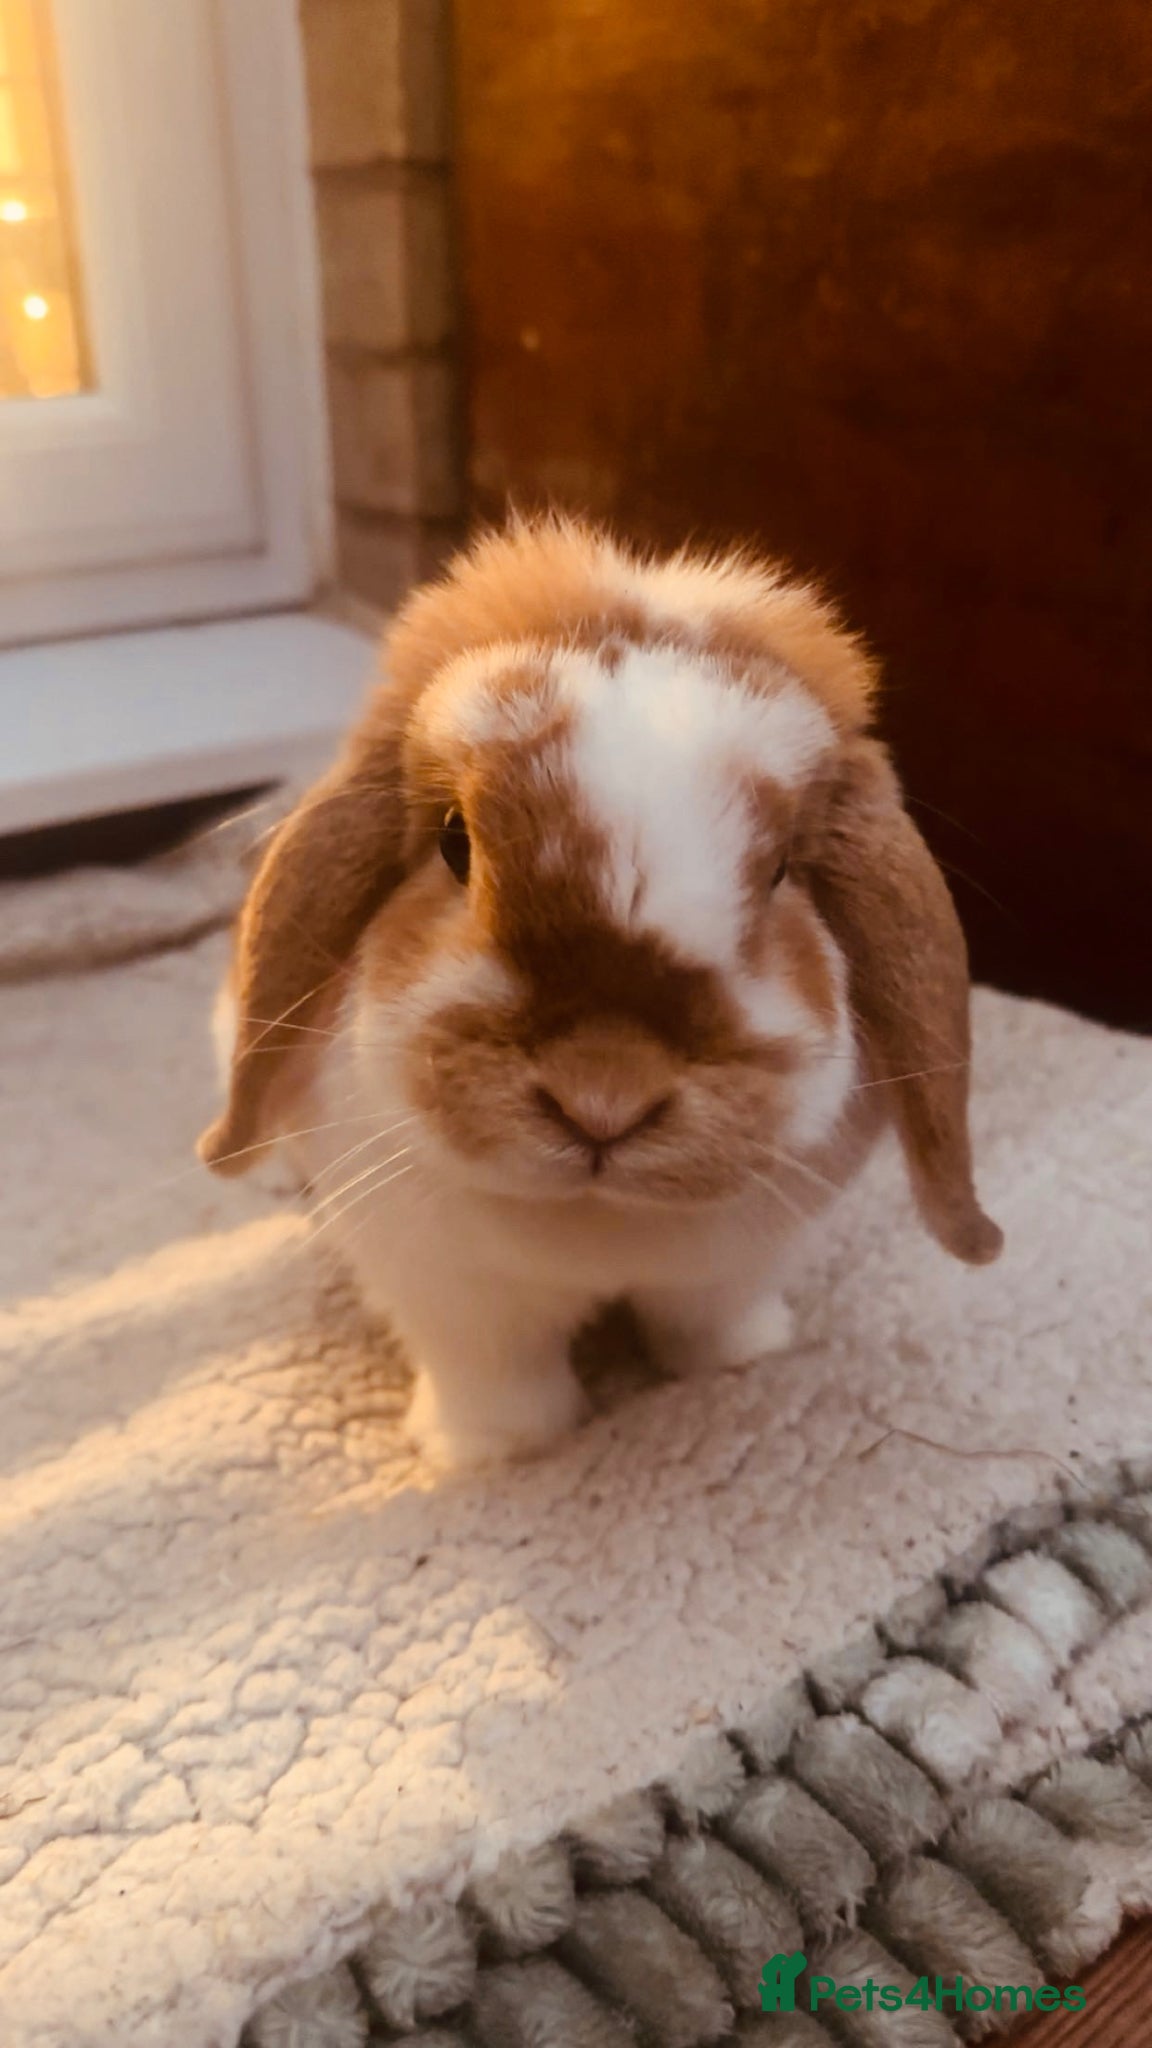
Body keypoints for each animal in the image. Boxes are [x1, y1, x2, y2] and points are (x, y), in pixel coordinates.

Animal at [199, 517, 1002, 1470]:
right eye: (455, 843)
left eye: (779, 872)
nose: (604, 1096)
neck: (601, 1227)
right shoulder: (454, 1297)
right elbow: (496, 1380)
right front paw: (488, 1456)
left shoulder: (735, 1268)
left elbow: (711, 1326)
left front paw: (743, 1363)